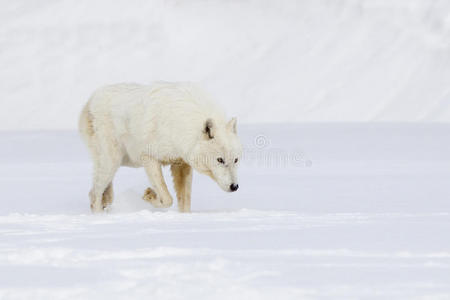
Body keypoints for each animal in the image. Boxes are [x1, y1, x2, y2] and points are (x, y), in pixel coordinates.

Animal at [79, 82, 244, 213]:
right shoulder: (149, 157)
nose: (234, 186)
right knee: (93, 194)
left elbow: (185, 201)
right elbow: (167, 198)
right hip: (112, 161)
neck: (183, 124)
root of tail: (89, 100)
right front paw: (149, 195)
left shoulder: (181, 164)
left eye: (236, 160)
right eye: (220, 160)